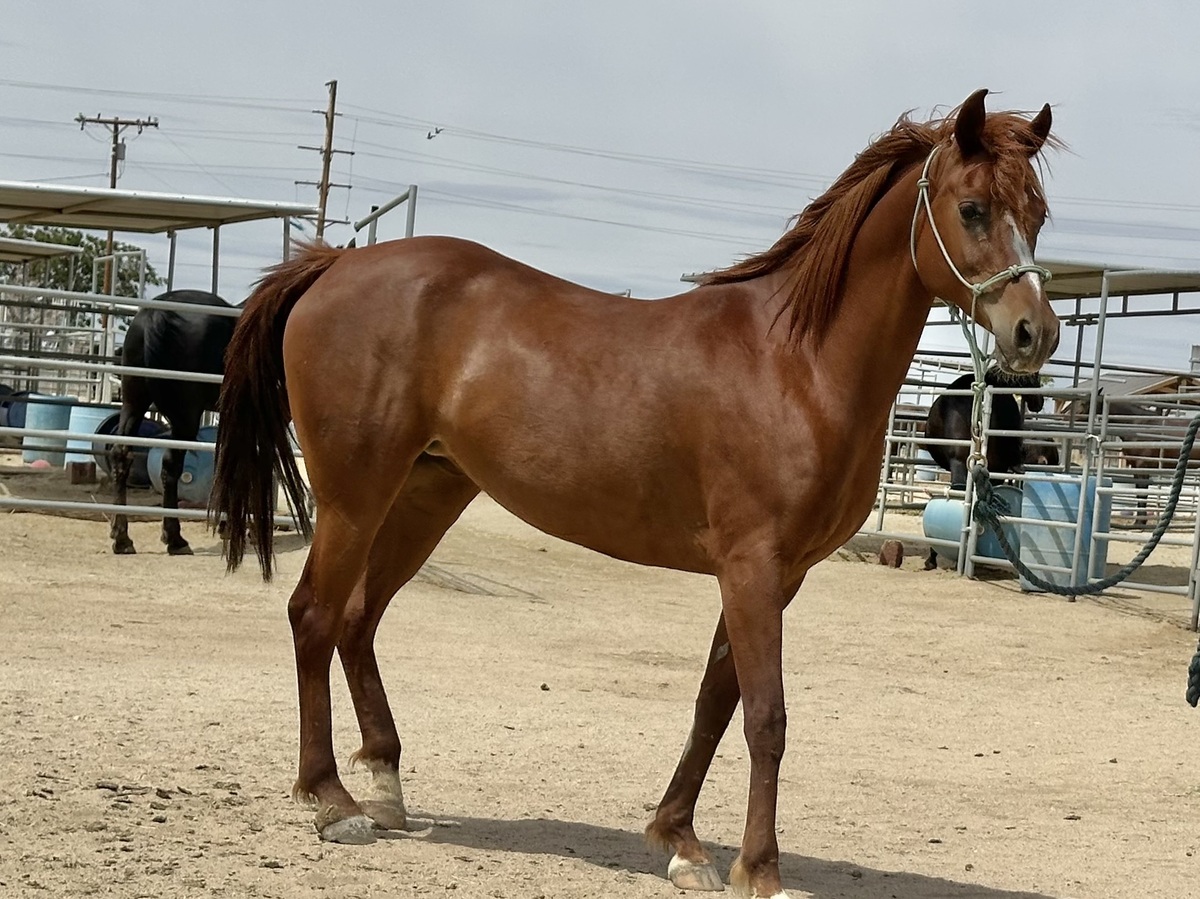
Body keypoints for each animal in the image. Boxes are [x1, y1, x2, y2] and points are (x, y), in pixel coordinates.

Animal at [109, 289, 236, 555]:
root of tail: (157, 312)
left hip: (133, 403)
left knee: (121, 454)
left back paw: (122, 537)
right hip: (185, 417)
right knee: (170, 466)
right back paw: (175, 539)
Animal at [209, 89, 1059, 899]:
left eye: (1039, 215)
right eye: (973, 208)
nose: (1036, 334)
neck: (796, 361)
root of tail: (333, 264)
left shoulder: (775, 575)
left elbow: (715, 702)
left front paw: (680, 841)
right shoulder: (752, 566)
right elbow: (766, 717)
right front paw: (762, 868)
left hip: (426, 495)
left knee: (358, 621)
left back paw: (385, 785)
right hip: (355, 496)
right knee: (315, 616)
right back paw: (332, 801)